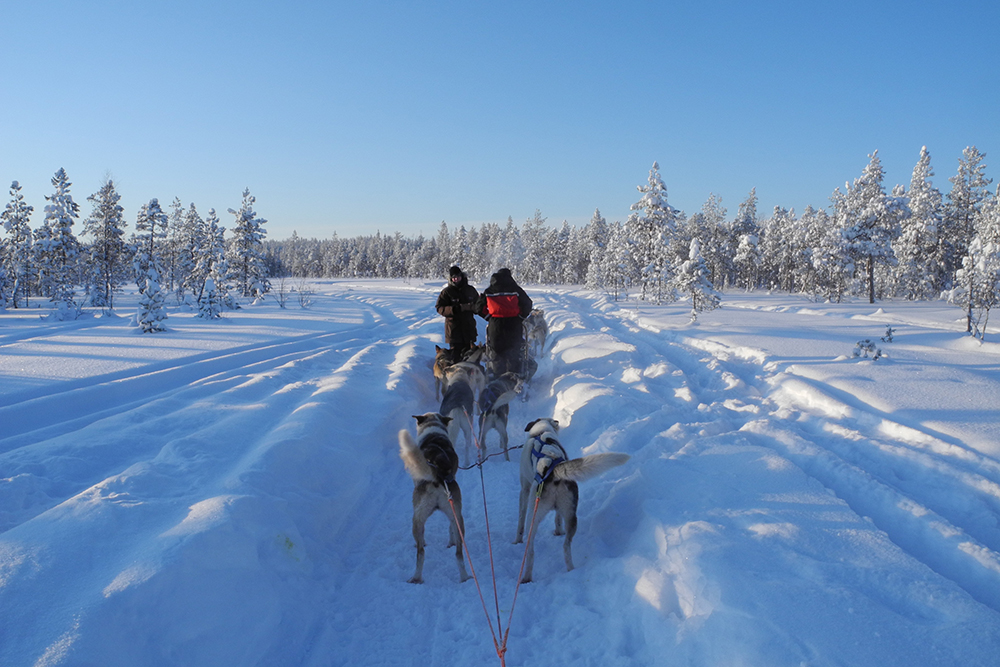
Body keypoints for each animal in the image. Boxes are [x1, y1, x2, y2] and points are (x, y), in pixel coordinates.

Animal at [396, 412, 470, 584]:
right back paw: (464, 577)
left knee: (421, 553)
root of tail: (437, 475)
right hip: (457, 518)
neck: (433, 429)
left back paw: (416, 577)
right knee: (459, 554)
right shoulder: (453, 515)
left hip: (416, 519)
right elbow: (450, 529)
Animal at [520, 420, 628, 580]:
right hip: (569, 516)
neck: (540, 433)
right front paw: (558, 531)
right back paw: (568, 570)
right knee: (562, 547)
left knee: (534, 550)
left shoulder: (525, 489)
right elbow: (558, 518)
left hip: (534, 516)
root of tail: (553, 471)